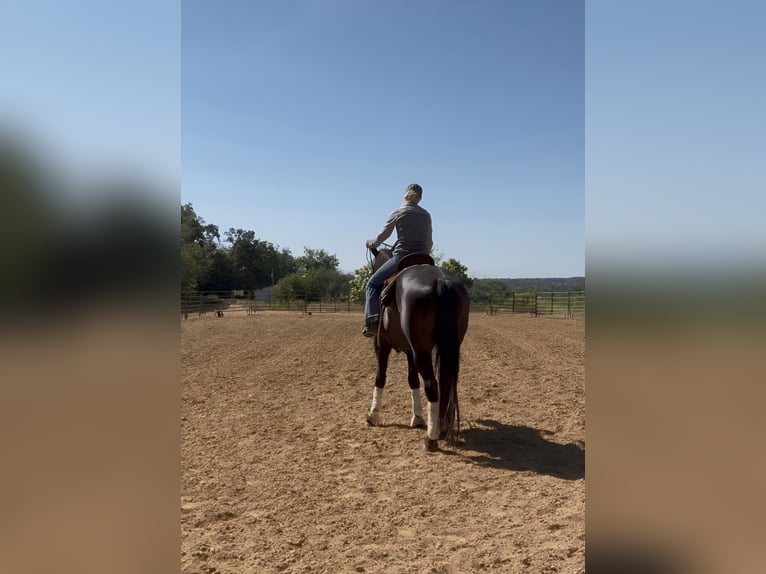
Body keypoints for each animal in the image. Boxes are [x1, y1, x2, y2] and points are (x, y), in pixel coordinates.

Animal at [365, 246, 470, 451]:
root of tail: (441, 282)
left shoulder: (381, 345)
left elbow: (380, 377)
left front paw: (373, 416)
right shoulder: (408, 349)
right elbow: (412, 380)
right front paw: (418, 418)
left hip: (421, 352)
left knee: (431, 385)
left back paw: (431, 439)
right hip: (448, 347)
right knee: (446, 383)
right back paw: (442, 429)